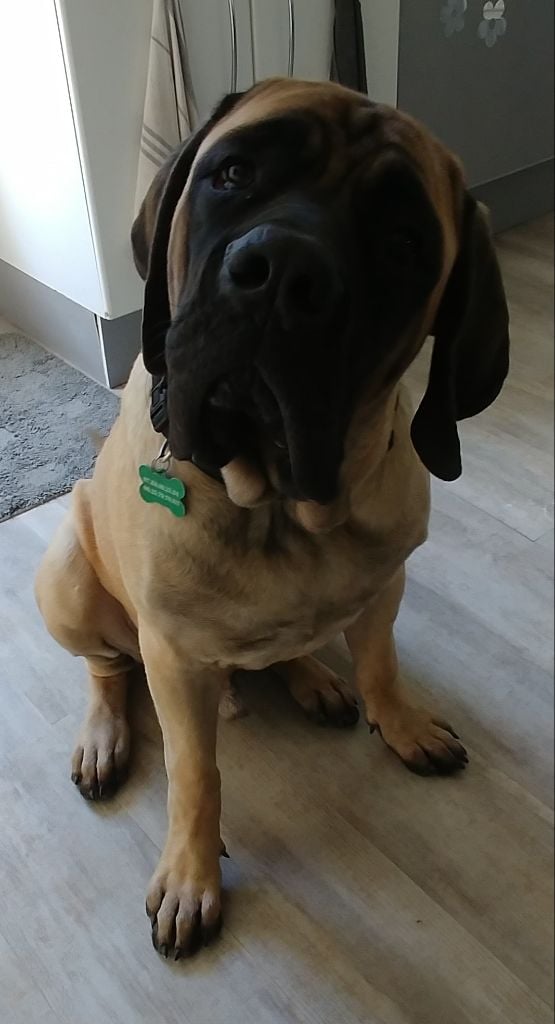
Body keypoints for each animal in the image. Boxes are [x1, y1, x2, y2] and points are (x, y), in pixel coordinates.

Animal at [35, 78, 509, 960]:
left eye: (402, 242)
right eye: (232, 174)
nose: (282, 268)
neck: (278, 504)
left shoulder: (384, 587)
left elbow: (381, 665)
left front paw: (399, 721)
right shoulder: (173, 657)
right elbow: (196, 775)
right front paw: (191, 876)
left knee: (287, 652)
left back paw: (312, 677)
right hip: (69, 582)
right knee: (106, 670)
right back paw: (105, 735)